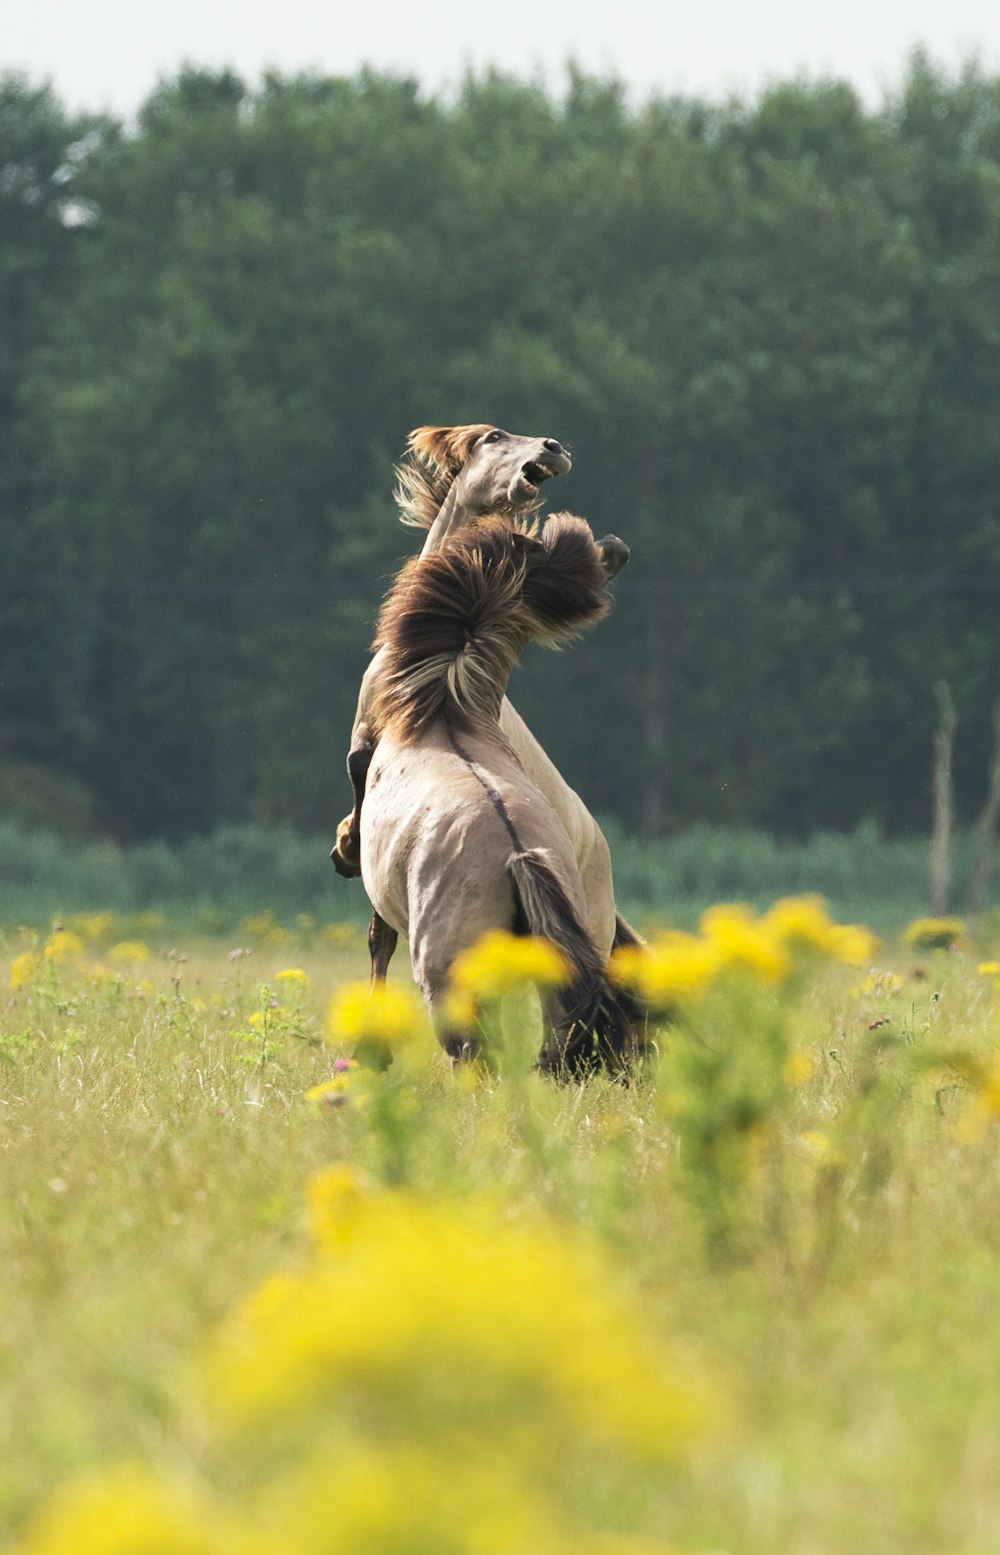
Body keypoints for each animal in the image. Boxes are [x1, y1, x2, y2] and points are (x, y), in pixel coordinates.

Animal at [363, 516, 637, 1076]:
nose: (617, 547)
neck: (445, 714)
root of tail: (519, 854)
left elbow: (379, 940)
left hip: (450, 983)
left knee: (472, 1054)